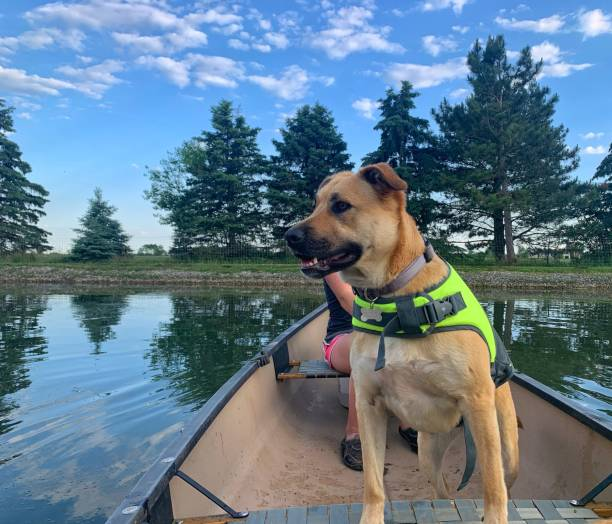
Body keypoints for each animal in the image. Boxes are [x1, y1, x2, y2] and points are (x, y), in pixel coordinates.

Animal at [284, 164, 520, 524]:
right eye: (316, 204)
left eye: (341, 206)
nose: (288, 235)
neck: (396, 297)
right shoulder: (368, 404)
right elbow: (373, 482)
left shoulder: (477, 402)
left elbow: (494, 489)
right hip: (429, 451)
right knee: (444, 492)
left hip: (504, 445)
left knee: (502, 478)